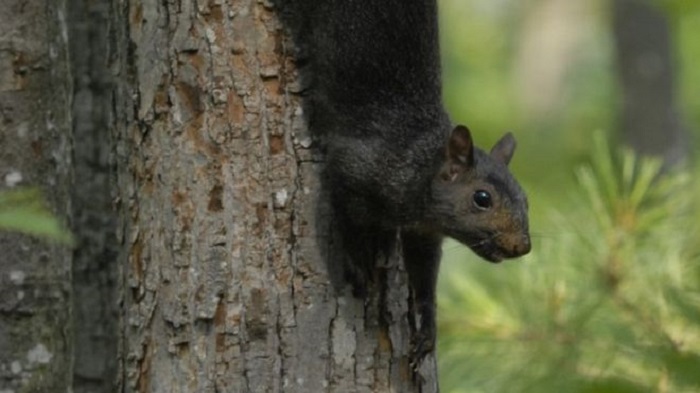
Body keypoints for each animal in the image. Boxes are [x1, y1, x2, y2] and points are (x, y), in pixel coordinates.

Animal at [276, 0, 528, 362]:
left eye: (525, 199)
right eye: (482, 198)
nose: (523, 246)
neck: (417, 162)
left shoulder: (423, 232)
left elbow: (424, 275)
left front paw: (428, 327)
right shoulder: (352, 169)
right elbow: (345, 219)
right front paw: (357, 264)